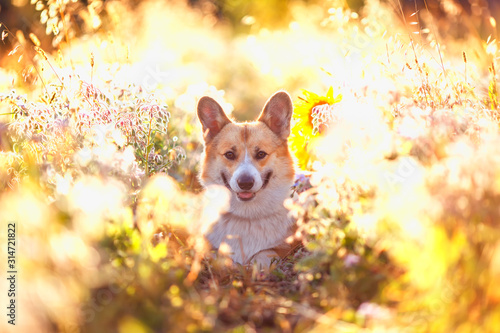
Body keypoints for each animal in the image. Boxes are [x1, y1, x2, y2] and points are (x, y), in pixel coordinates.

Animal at [195, 91, 296, 268]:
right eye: (229, 154)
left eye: (261, 154)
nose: (245, 183)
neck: (247, 216)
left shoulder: (283, 248)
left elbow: (264, 254)